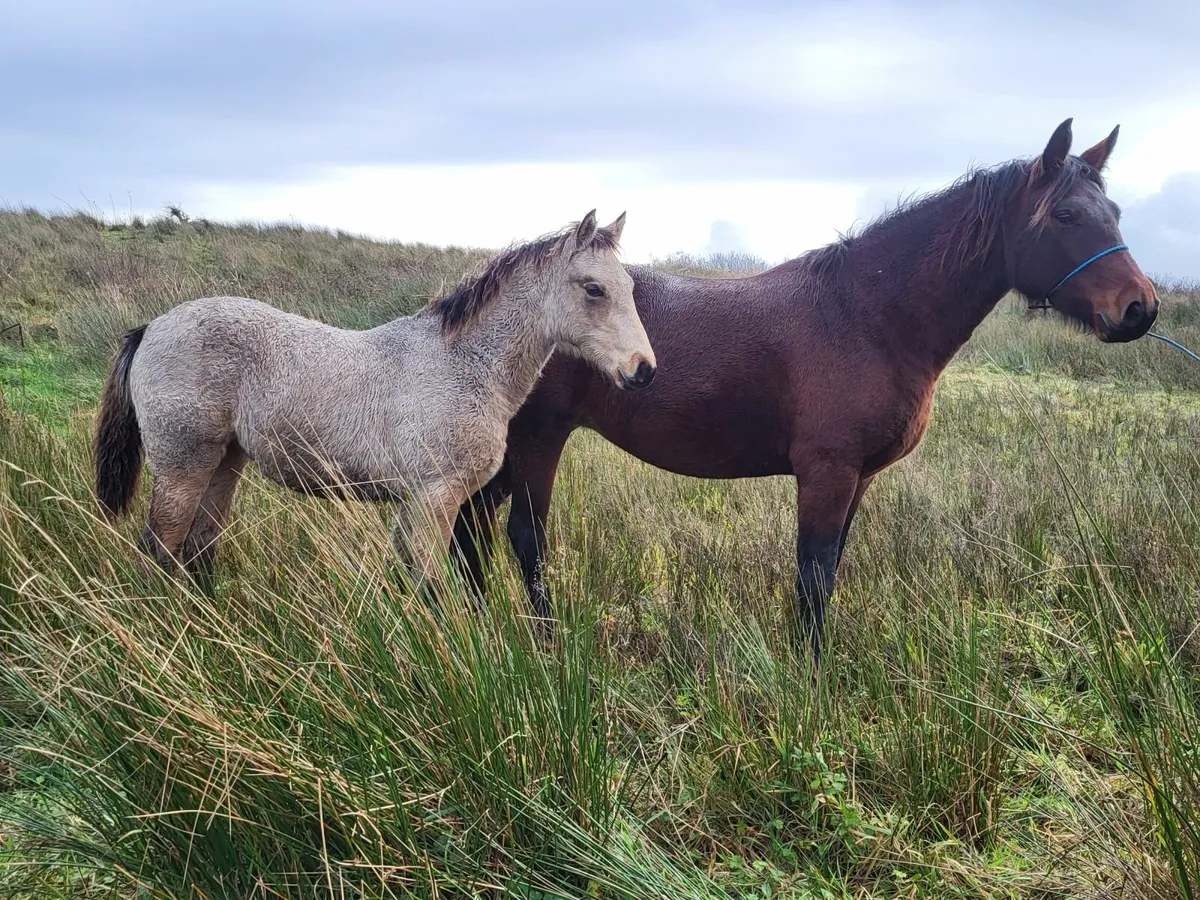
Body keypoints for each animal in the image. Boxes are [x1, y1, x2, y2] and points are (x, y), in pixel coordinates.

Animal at [92, 210, 657, 590]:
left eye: (630, 287)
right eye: (593, 288)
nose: (643, 370)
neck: (460, 366)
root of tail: (151, 328)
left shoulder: (418, 503)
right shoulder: (434, 500)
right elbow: (432, 588)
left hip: (224, 462)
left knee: (197, 549)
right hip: (183, 463)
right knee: (160, 548)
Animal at [450, 120, 1159, 661]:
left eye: (1116, 213)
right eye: (1065, 214)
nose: (1139, 309)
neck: (868, 316)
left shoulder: (858, 477)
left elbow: (830, 569)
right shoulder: (827, 470)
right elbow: (813, 577)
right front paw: (810, 681)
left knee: (470, 531)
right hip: (538, 441)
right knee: (524, 537)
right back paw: (545, 646)